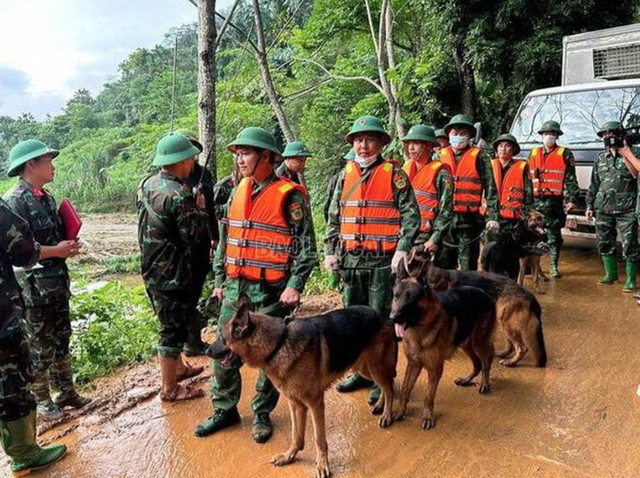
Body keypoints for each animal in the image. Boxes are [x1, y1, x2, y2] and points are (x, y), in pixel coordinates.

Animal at [210, 294, 398, 478]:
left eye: (222, 338)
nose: (206, 351)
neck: (279, 344)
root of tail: (380, 314)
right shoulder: (295, 403)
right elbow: (296, 435)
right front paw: (289, 456)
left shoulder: (315, 403)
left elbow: (319, 439)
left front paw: (322, 465)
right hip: (363, 367)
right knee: (386, 385)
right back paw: (380, 405)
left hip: (374, 367)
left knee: (389, 388)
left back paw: (387, 414)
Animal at [390, 268, 496, 432]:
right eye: (396, 296)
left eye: (411, 298)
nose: (393, 317)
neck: (419, 331)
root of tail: (484, 293)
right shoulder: (413, 364)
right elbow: (406, 388)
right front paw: (401, 412)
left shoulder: (435, 369)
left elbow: (428, 396)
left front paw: (427, 417)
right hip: (466, 344)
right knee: (477, 363)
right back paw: (466, 379)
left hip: (478, 342)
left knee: (486, 360)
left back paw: (485, 383)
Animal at [404, 250, 544, 370]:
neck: (427, 276)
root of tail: (529, 295)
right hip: (504, 321)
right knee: (512, 344)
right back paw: (505, 354)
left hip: (504, 321)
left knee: (522, 348)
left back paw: (511, 362)